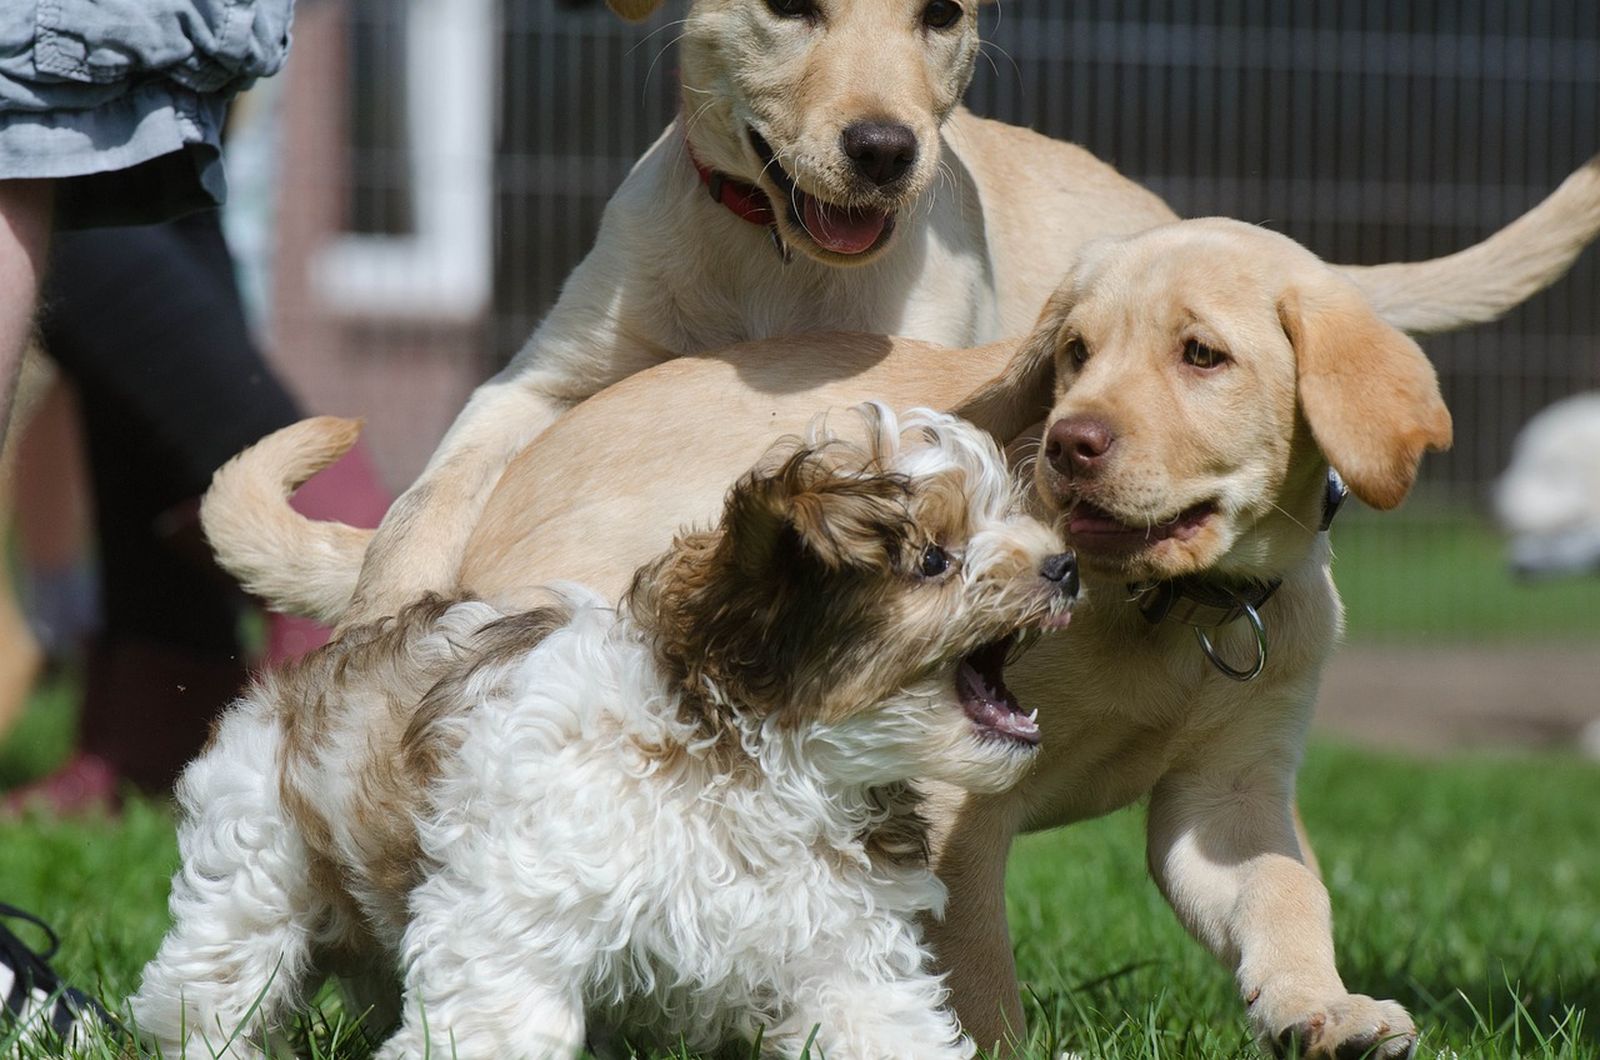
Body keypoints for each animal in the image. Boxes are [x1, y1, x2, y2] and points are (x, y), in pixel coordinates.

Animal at [134, 408, 1075, 1060]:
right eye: (934, 561)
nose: (1065, 565)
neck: (761, 763)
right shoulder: (515, 906)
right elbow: (504, 1020)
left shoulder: (846, 944)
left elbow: (885, 1023)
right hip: (255, 861)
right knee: (214, 983)